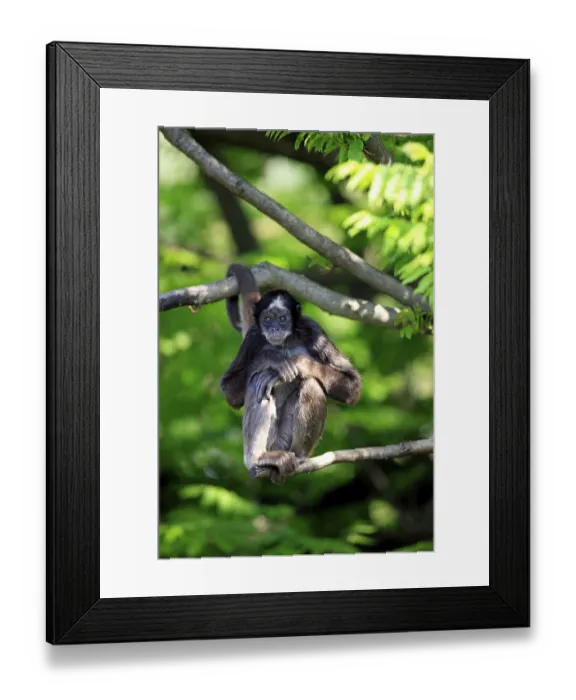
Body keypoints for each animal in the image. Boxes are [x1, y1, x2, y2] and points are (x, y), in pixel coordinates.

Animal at [220, 264, 361, 483]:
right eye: (268, 319)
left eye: (283, 318)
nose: (275, 328)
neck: (284, 343)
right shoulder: (253, 336)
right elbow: (230, 391)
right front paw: (272, 359)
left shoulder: (313, 330)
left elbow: (353, 387)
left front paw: (299, 363)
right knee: (257, 381)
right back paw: (258, 459)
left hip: (286, 440)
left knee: (310, 383)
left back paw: (299, 456)